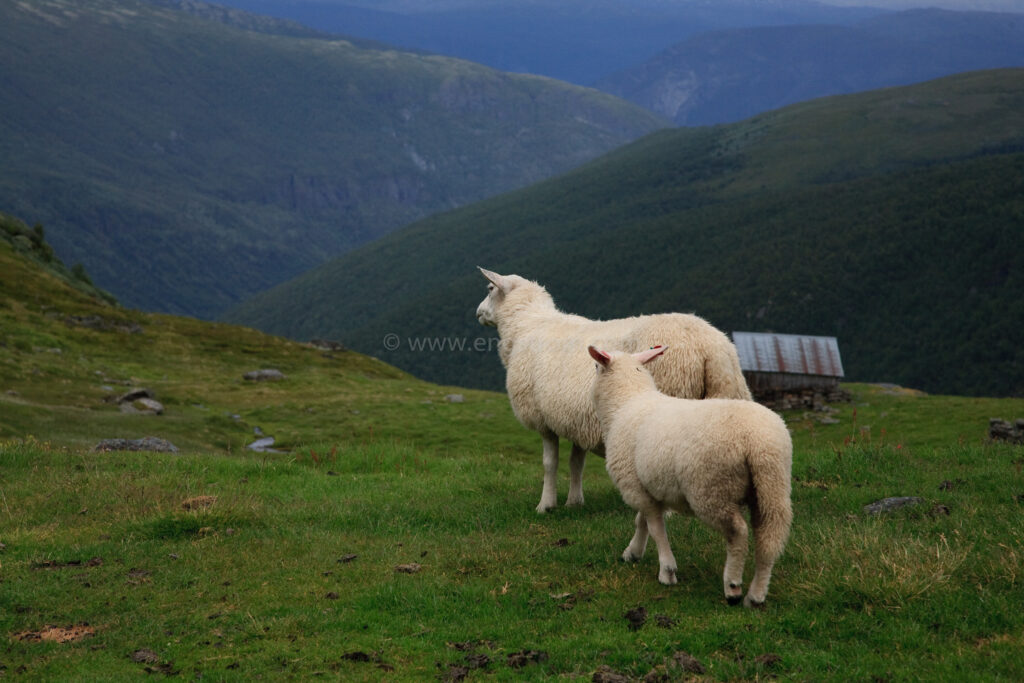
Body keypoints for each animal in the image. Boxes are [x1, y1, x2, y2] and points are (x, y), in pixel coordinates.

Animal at [473, 266, 753, 511]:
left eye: (489, 288)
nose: (477, 312)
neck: (525, 325)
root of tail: (712, 347)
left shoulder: (543, 418)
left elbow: (549, 463)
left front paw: (545, 505)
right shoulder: (578, 420)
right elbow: (576, 463)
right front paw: (574, 502)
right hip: (725, 397)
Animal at [585, 344, 790, 606]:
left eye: (595, 366)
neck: (625, 403)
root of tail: (756, 442)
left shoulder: (634, 485)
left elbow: (655, 528)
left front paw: (667, 570)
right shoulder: (648, 487)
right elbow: (642, 521)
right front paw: (633, 552)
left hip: (711, 489)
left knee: (737, 532)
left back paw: (733, 586)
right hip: (772, 487)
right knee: (769, 539)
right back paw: (756, 594)